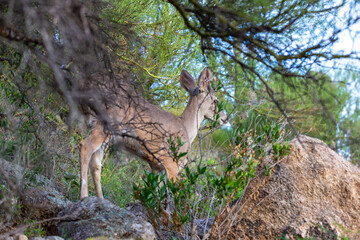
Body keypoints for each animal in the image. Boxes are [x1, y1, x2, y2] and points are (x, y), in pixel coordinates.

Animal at [79, 67, 226, 199]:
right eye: (216, 101)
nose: (225, 118)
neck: (186, 128)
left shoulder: (156, 166)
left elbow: (157, 194)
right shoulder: (172, 161)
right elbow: (176, 194)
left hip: (96, 125)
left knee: (95, 163)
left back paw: (100, 199)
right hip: (110, 120)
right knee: (85, 145)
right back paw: (84, 196)